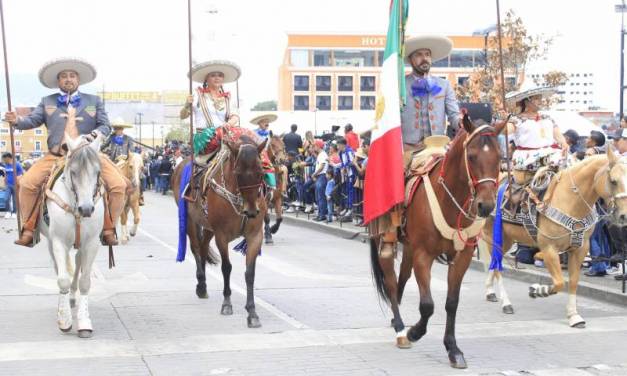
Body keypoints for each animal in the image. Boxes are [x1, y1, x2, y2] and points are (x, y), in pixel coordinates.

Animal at [40, 132, 105, 338]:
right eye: (73, 172)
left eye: (97, 172)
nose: (87, 209)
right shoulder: (58, 241)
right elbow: (62, 279)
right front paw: (65, 320)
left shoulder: (91, 243)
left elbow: (85, 281)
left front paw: (84, 322)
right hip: (51, 242)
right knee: (59, 268)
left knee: (77, 264)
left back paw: (72, 297)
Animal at [173, 134, 268, 328]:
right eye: (238, 173)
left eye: (261, 172)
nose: (251, 212)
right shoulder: (221, 236)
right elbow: (227, 268)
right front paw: (227, 304)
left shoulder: (255, 236)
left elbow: (250, 273)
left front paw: (252, 312)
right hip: (191, 221)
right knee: (196, 249)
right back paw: (201, 285)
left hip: (209, 227)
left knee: (203, 248)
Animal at [372, 116, 500, 368]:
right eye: (472, 156)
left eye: (500, 156)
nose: (486, 206)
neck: (449, 200)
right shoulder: (424, 255)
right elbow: (428, 305)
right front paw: (414, 332)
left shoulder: (462, 257)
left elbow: (452, 302)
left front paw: (453, 348)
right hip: (388, 239)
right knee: (390, 280)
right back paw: (400, 329)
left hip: (409, 246)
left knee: (402, 278)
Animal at [480, 148, 627, 328]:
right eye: (613, 181)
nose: (624, 215)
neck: (571, 201)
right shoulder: (549, 248)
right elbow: (559, 283)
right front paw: (537, 290)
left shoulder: (580, 248)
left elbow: (572, 282)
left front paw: (574, 315)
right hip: (495, 236)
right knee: (497, 266)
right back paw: (506, 303)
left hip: (507, 239)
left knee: (494, 264)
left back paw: (490, 292)